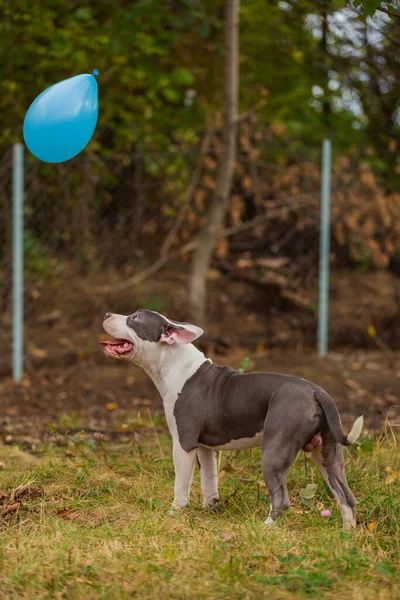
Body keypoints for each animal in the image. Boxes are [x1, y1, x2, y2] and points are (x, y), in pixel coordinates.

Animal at [100, 310, 362, 528]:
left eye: (134, 318)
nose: (107, 314)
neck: (172, 363)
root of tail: (317, 392)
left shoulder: (183, 444)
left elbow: (181, 484)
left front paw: (175, 512)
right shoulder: (206, 448)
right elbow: (209, 480)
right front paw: (210, 509)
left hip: (275, 451)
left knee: (281, 500)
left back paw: (265, 528)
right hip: (327, 453)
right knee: (346, 497)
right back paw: (347, 535)